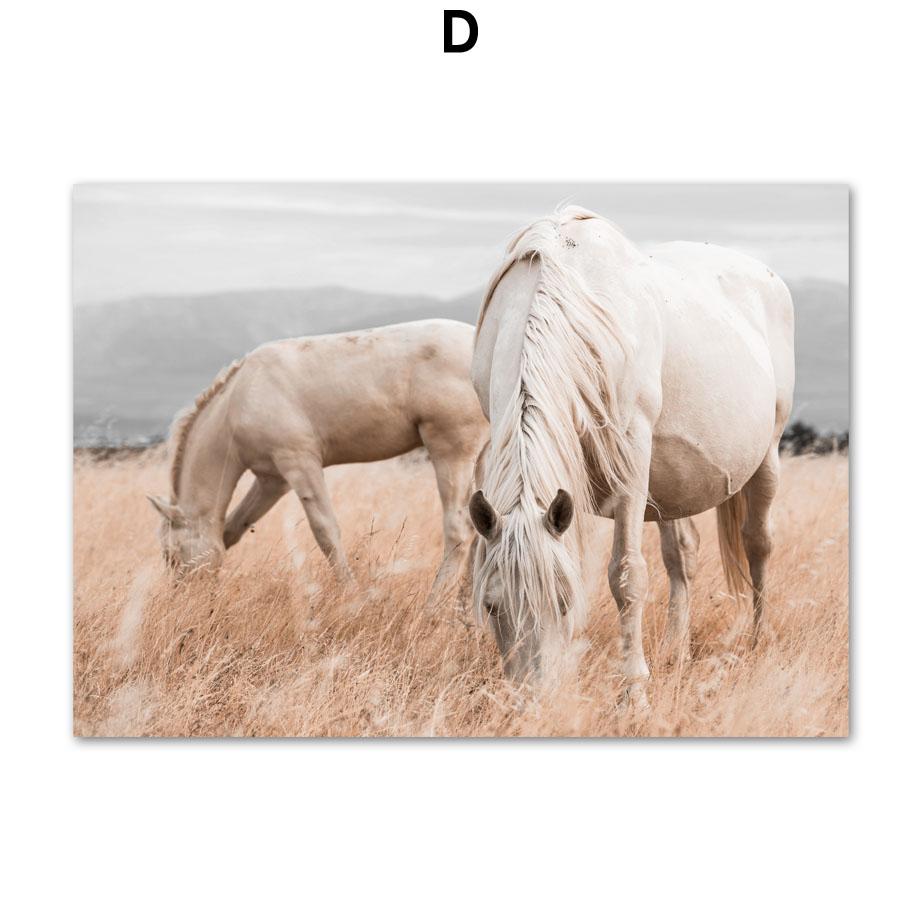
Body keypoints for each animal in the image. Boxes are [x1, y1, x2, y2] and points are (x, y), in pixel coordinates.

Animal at [148, 319, 488, 599]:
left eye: (171, 554)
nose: (183, 599)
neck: (241, 399)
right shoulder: (272, 480)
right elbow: (232, 530)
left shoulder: (299, 463)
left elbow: (326, 532)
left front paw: (352, 596)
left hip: (451, 451)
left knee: (458, 529)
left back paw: (435, 605)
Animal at [468, 207, 795, 700]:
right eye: (491, 607)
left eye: (563, 603)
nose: (533, 700)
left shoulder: (631, 460)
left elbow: (626, 574)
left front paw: (634, 688)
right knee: (683, 559)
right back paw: (676, 650)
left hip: (766, 458)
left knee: (758, 543)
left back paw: (759, 639)